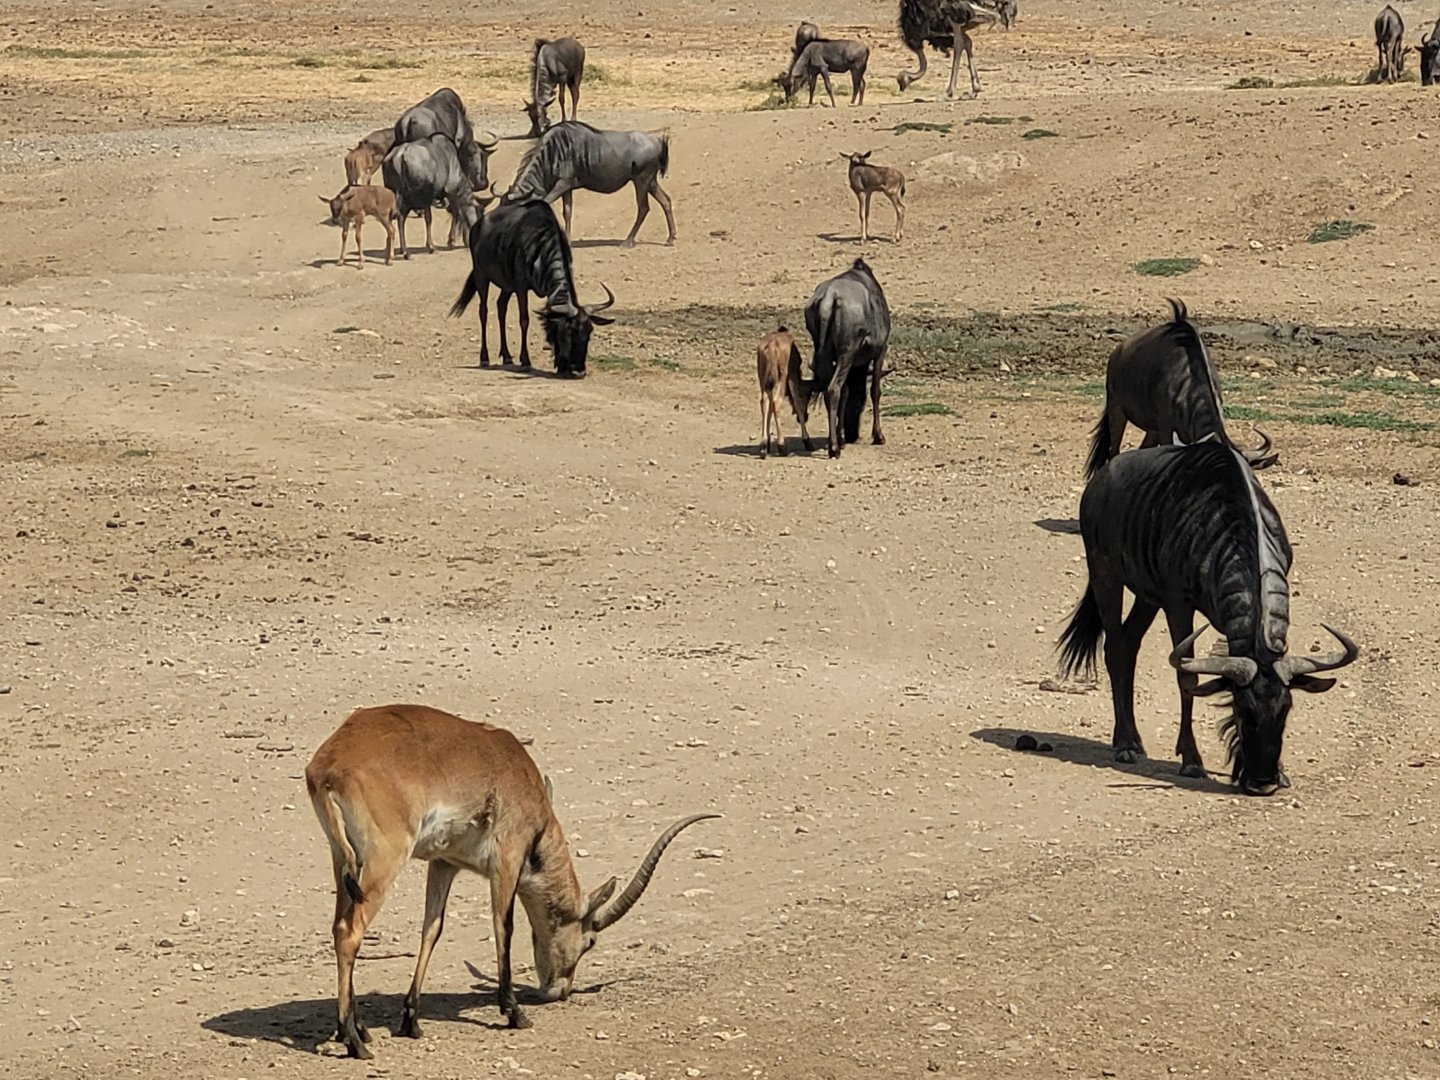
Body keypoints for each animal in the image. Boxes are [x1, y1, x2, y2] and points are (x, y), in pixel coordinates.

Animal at [305, 704, 719, 1059]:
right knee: (350, 932)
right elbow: (504, 926)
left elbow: (432, 930)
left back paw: (353, 1029)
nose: (560, 991)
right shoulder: (508, 858)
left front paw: (411, 1020)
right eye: (591, 941)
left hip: (344, 862)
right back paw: (354, 1041)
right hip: (384, 861)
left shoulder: (444, 864)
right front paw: (514, 1013)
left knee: (339, 925)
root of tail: (329, 766)